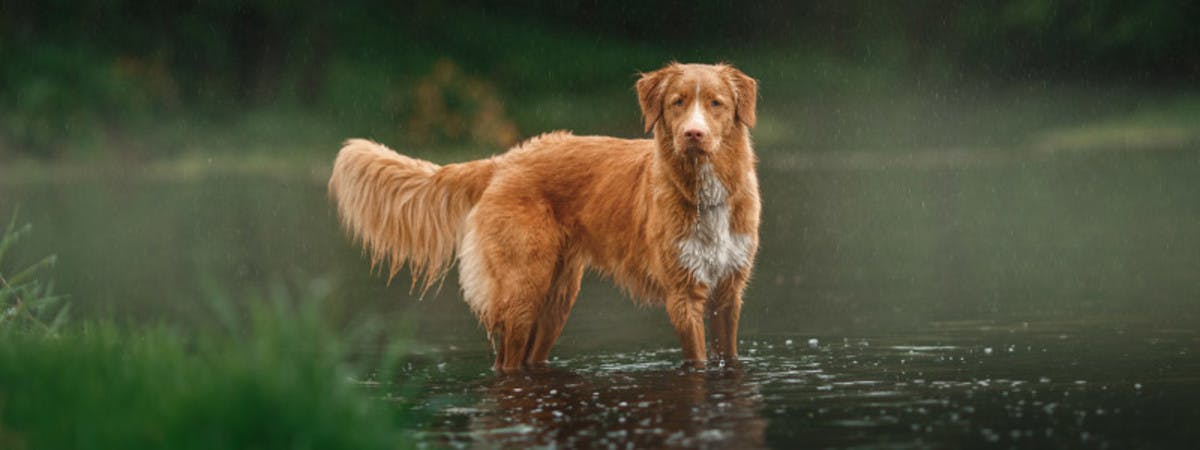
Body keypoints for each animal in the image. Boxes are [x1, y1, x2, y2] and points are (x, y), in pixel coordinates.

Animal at [328, 63, 758, 374]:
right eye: (677, 102)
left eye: (716, 103)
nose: (693, 134)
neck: (704, 192)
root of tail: (504, 161)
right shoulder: (683, 296)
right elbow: (698, 359)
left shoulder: (728, 292)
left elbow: (729, 354)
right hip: (521, 291)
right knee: (507, 361)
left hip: (556, 301)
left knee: (529, 357)